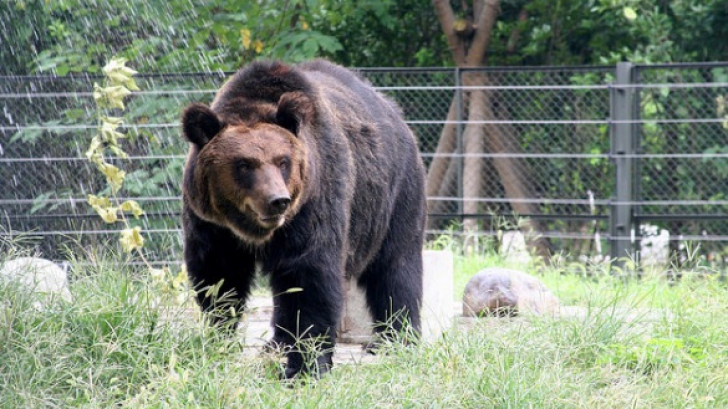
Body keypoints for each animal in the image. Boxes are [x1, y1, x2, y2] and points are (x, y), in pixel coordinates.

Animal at [180, 59, 426, 378]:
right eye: (244, 164)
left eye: (283, 161)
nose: (278, 200)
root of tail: (395, 113)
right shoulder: (213, 225)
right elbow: (219, 277)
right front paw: (220, 338)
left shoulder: (313, 203)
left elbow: (310, 276)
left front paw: (304, 367)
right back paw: (275, 344)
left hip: (395, 194)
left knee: (396, 266)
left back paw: (395, 338)